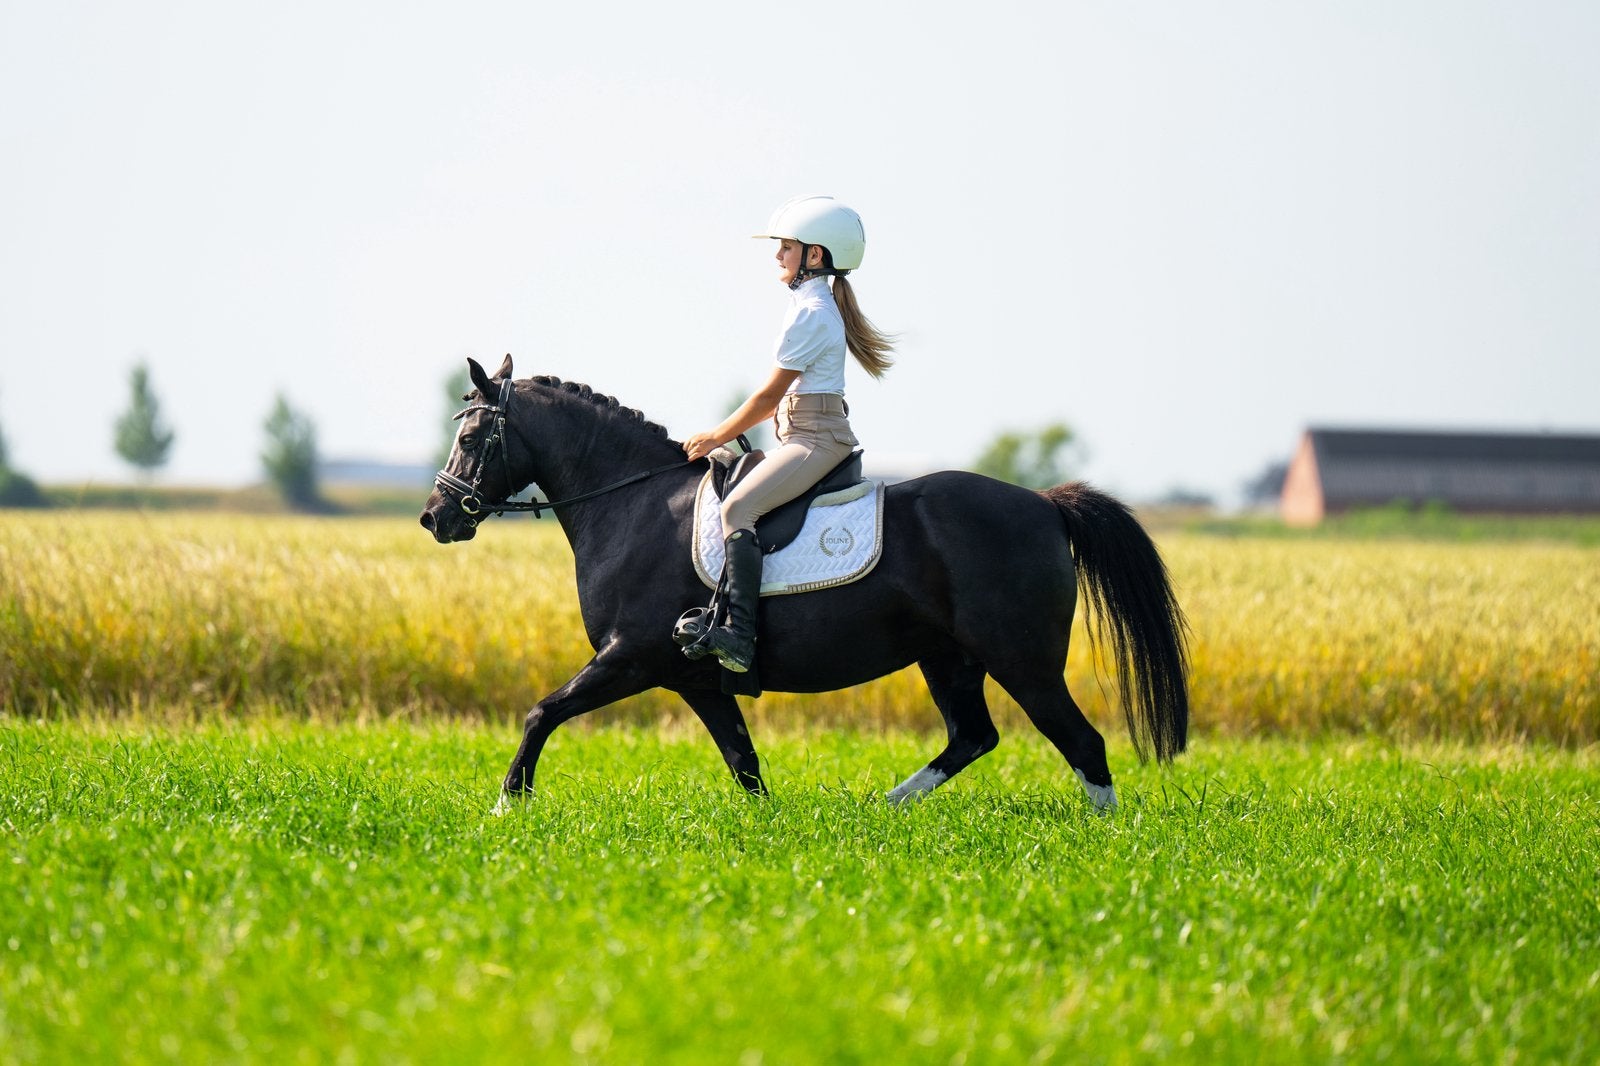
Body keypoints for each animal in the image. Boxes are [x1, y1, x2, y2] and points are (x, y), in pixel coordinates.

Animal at [420, 355, 1189, 810]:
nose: (435, 516)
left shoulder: (630, 658)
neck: (633, 500)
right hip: (948, 658)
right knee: (973, 736)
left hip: (1022, 660)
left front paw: (507, 806)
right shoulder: (695, 680)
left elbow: (541, 712)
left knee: (1082, 745)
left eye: (471, 436)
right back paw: (885, 807)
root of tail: (1044, 504)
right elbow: (745, 766)